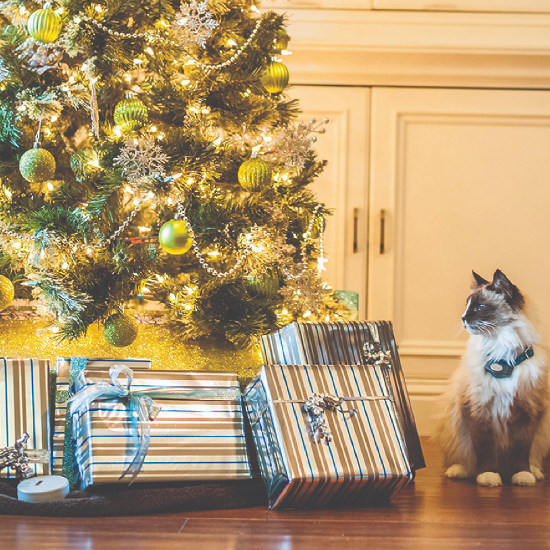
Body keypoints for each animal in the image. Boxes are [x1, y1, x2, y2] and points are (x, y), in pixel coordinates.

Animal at [438, 270, 548, 490]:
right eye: (467, 305)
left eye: (480, 307)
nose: (462, 318)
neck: (503, 355)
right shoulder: (478, 409)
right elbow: (484, 448)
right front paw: (488, 476)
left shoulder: (527, 411)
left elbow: (521, 450)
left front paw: (522, 476)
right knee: (462, 459)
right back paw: (458, 471)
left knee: (531, 457)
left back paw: (534, 472)